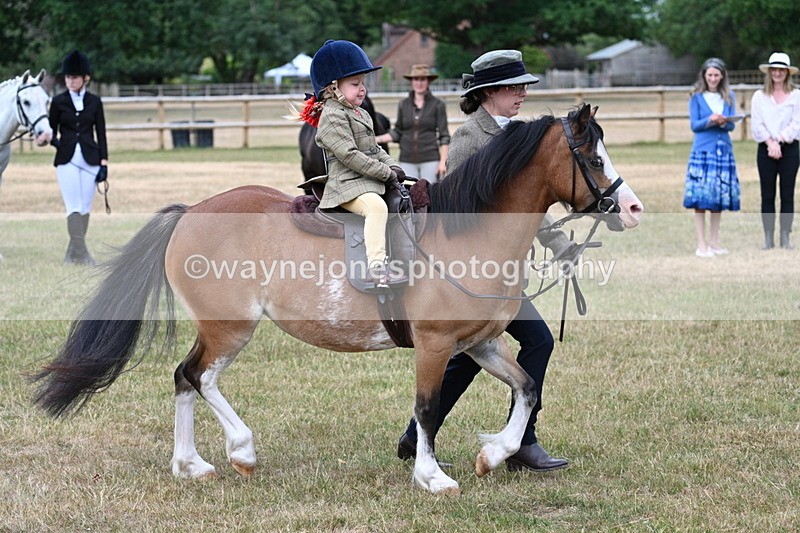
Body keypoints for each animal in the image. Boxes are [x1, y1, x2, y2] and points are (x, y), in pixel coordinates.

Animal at [32, 104, 643, 495]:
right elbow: (427, 408)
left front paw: (494, 453)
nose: (632, 209)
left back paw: (192, 466)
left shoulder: (479, 344)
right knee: (199, 376)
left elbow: (527, 387)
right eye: (593, 158)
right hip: (230, 326)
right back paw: (240, 452)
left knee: (185, 378)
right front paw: (432, 477)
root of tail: (190, 212)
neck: (466, 233)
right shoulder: (435, 346)